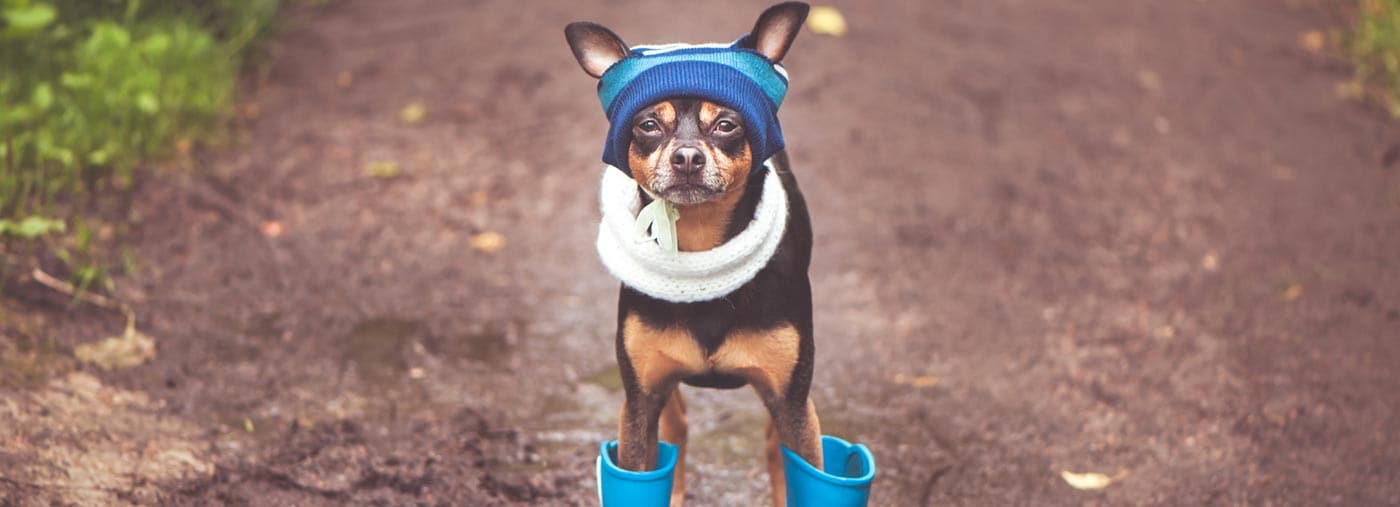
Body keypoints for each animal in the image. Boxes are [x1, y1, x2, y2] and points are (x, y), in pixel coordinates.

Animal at [562, 1, 817, 504]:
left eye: (726, 124)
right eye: (648, 125)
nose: (686, 157)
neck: (701, 251)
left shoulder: (791, 402)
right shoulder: (641, 398)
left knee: (774, 446)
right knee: (676, 428)